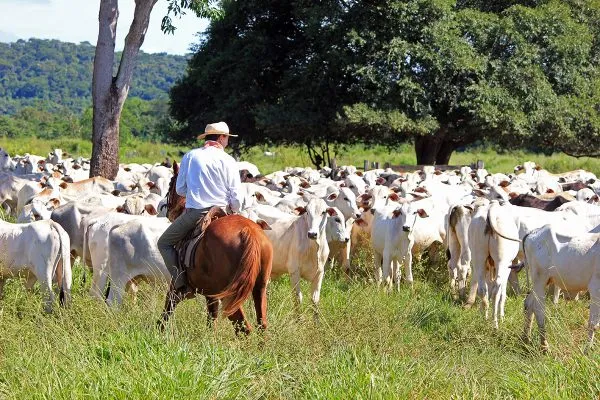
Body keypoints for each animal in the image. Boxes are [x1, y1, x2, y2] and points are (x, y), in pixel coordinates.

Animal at [158, 162, 274, 334]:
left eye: (171, 182)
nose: (166, 209)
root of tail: (248, 231)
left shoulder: (176, 285)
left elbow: (167, 309)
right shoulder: (211, 296)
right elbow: (211, 320)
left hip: (230, 294)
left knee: (244, 327)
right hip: (259, 288)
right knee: (261, 324)